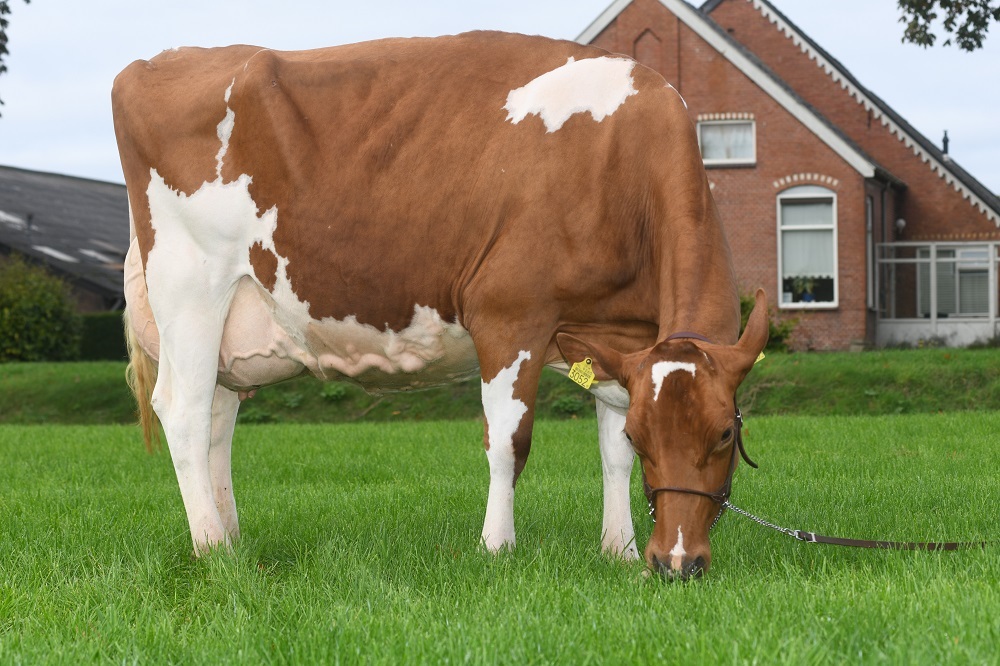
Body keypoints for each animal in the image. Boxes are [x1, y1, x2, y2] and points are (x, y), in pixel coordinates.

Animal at [111, 29, 764, 576]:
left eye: (723, 435)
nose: (676, 562)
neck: (621, 164)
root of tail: (160, 60)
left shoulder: (621, 338)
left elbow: (611, 451)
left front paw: (619, 551)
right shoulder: (509, 315)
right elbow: (509, 443)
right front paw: (496, 548)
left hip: (228, 324)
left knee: (218, 419)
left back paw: (232, 535)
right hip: (190, 289)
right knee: (185, 410)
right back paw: (212, 549)